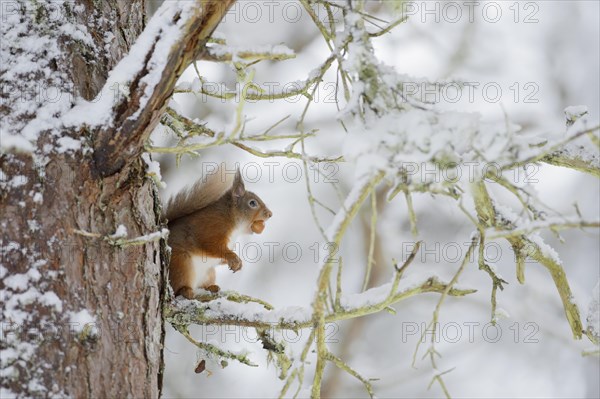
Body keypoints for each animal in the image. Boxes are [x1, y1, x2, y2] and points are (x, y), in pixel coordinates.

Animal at [164, 167, 272, 298]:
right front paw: (233, 257)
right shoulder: (212, 227)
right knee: (176, 288)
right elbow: (213, 246)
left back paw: (211, 287)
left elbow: (220, 259)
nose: (270, 214)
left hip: (209, 273)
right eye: (252, 203)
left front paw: (238, 263)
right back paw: (185, 290)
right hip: (181, 265)